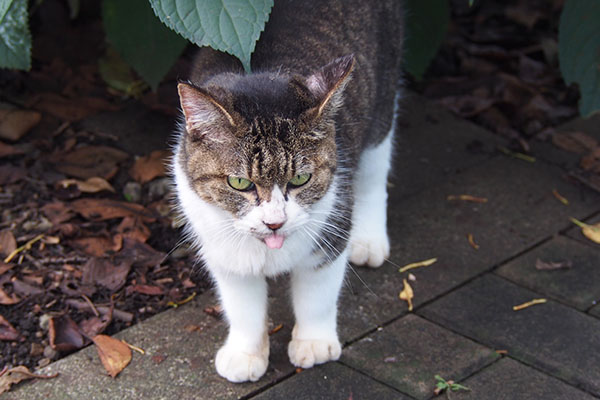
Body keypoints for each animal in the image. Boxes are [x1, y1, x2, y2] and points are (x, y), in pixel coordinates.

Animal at [172, 0, 404, 382]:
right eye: (240, 183)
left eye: (300, 180)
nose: (275, 222)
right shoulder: (222, 247)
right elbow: (242, 306)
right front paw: (245, 353)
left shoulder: (331, 230)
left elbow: (318, 295)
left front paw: (314, 342)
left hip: (383, 94)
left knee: (374, 171)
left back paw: (369, 240)